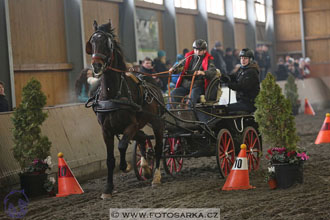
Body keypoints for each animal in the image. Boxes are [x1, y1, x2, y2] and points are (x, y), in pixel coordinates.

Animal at [85, 21, 164, 199]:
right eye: (92, 42)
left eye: (108, 43)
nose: (96, 65)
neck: (112, 93)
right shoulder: (106, 130)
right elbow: (109, 160)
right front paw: (108, 189)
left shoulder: (131, 125)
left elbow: (121, 146)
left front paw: (125, 166)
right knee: (143, 140)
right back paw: (145, 168)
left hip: (156, 123)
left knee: (158, 147)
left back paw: (155, 176)